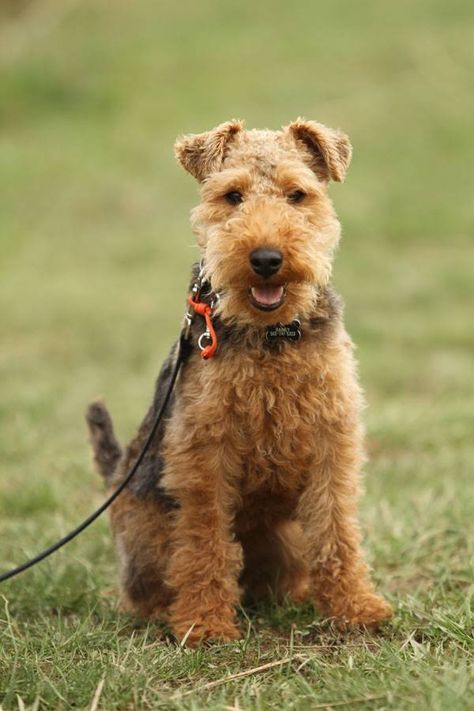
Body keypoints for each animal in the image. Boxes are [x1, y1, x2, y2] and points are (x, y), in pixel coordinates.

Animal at [86, 118, 392, 644]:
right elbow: (205, 541)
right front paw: (205, 623)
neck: (272, 335)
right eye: (232, 196)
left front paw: (356, 608)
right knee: (148, 586)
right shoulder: (204, 448)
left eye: (297, 194)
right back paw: (166, 611)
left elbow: (336, 532)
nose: (266, 258)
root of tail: (118, 476)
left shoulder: (332, 436)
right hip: (149, 531)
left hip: (286, 533)